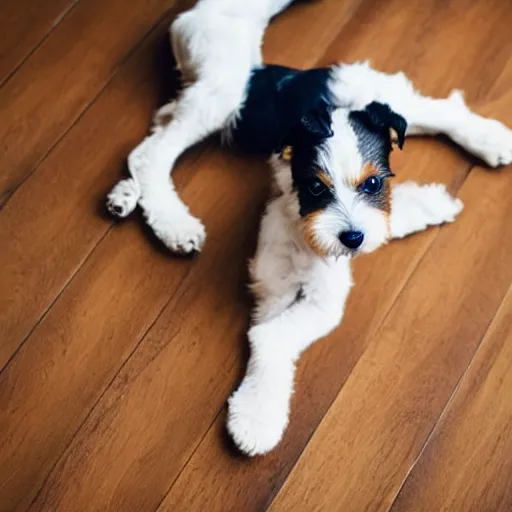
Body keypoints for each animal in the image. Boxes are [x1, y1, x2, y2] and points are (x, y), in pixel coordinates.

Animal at [105, 0, 512, 456]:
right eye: (315, 187)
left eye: (373, 183)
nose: (351, 238)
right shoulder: (285, 287)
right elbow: (268, 336)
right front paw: (258, 417)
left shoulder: (319, 289)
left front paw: (431, 204)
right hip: (222, 89)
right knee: (150, 151)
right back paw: (168, 220)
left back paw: (490, 139)